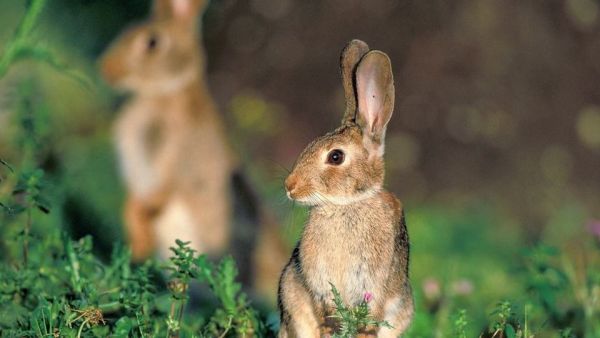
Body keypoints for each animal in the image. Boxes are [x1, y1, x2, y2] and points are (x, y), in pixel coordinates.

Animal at [98, 0, 286, 296]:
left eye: (152, 42)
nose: (106, 70)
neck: (163, 93)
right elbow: (131, 204)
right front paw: (137, 243)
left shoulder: (173, 168)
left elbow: (156, 197)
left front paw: (139, 241)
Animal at [276, 40, 412, 338]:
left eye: (336, 157)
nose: (290, 186)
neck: (346, 204)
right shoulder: (319, 284)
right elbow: (327, 312)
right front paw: (332, 328)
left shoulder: (373, 284)